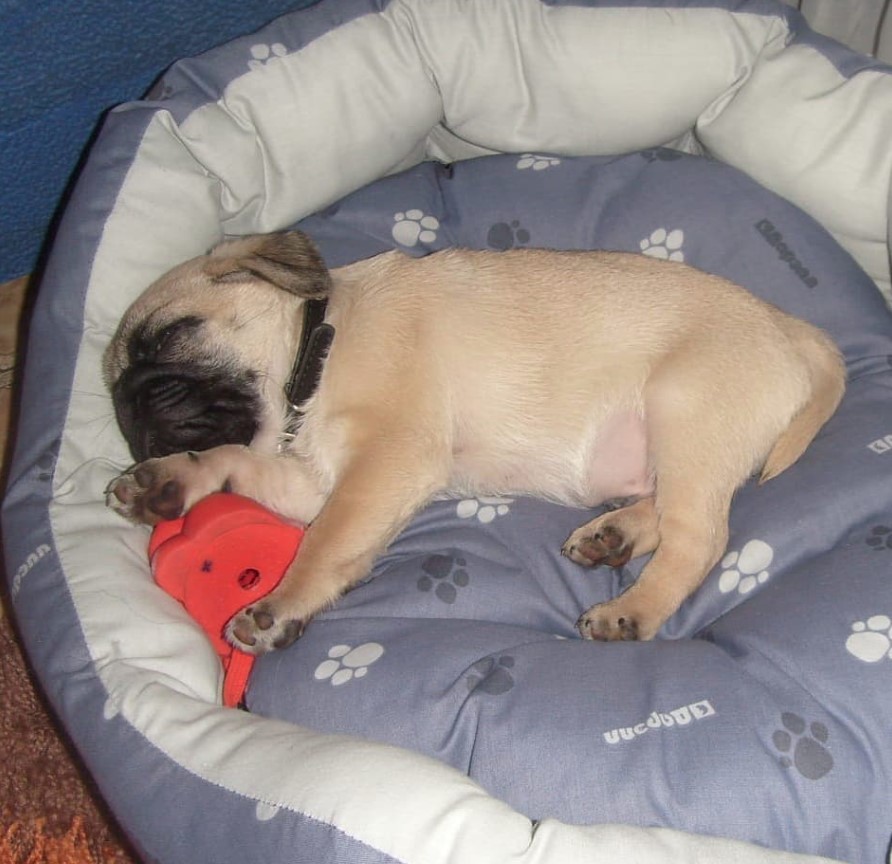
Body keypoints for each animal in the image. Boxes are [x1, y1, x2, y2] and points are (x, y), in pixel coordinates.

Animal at [103, 233, 844, 652]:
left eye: (173, 337)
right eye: (115, 392)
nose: (133, 403)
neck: (321, 344)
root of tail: (790, 329)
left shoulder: (387, 460)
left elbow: (324, 543)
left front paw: (282, 605)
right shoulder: (312, 480)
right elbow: (232, 459)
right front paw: (170, 481)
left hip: (684, 410)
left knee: (701, 538)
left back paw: (630, 611)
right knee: (667, 514)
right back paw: (613, 537)